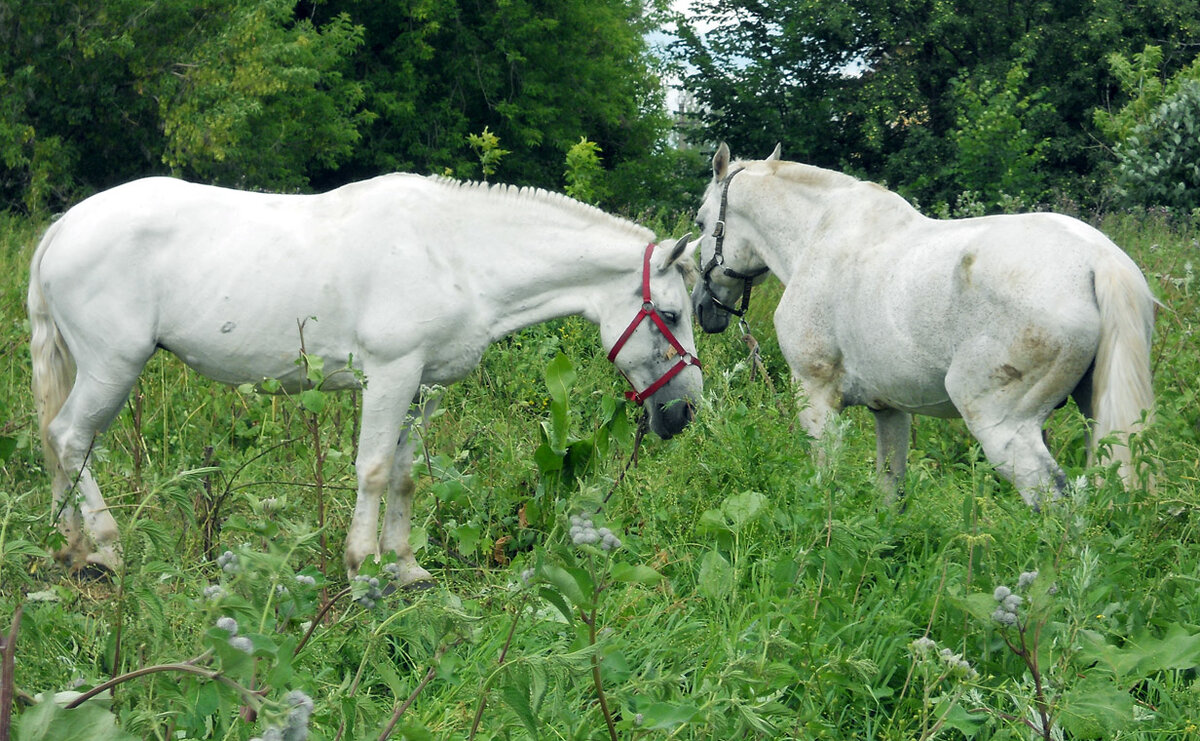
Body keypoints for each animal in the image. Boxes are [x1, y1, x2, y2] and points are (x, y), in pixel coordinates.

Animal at [28, 175, 700, 582]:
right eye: (670, 315)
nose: (684, 412)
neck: (457, 256)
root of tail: (62, 227)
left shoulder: (426, 386)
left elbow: (405, 475)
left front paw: (403, 568)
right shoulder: (391, 376)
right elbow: (373, 470)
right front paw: (360, 567)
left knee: (59, 441)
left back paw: (71, 547)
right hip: (113, 366)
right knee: (71, 439)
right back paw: (107, 547)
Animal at [691, 141, 1156, 505]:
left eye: (699, 222)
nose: (703, 309)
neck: (818, 235)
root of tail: (1099, 259)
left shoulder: (815, 396)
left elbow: (828, 479)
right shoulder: (889, 409)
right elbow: (889, 489)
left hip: (1003, 426)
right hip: (1098, 418)